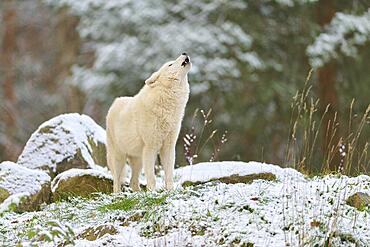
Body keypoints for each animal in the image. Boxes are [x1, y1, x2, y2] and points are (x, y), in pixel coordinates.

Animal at [105, 53, 189, 192]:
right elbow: (152, 177)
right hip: (119, 157)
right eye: (170, 64)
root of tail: (115, 103)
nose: (184, 53)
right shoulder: (150, 148)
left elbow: (169, 174)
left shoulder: (168, 147)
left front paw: (170, 191)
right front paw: (153, 192)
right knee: (116, 182)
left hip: (138, 160)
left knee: (133, 182)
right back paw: (118, 195)